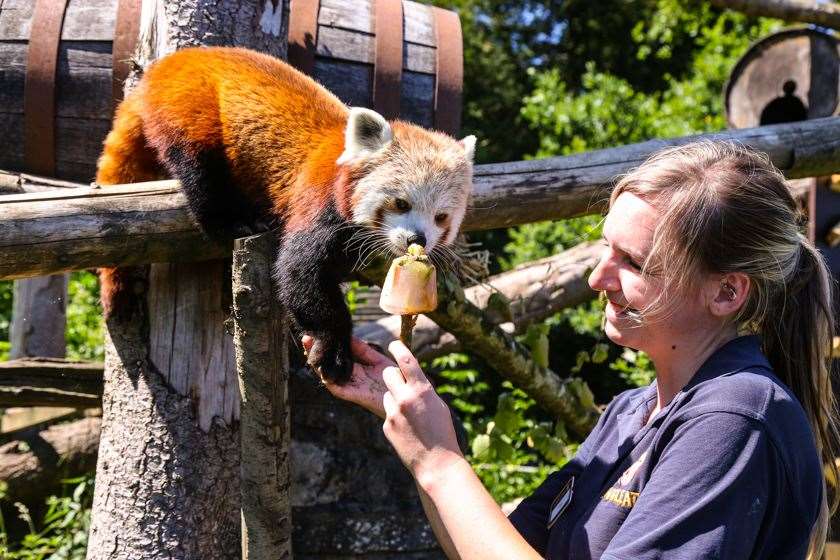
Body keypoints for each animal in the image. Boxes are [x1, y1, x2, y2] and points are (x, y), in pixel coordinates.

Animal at [96, 47, 476, 384]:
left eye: (441, 217)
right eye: (400, 203)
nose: (417, 238)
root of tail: (165, 66)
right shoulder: (318, 204)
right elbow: (299, 273)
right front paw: (334, 351)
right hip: (191, 112)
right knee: (200, 173)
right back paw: (232, 223)